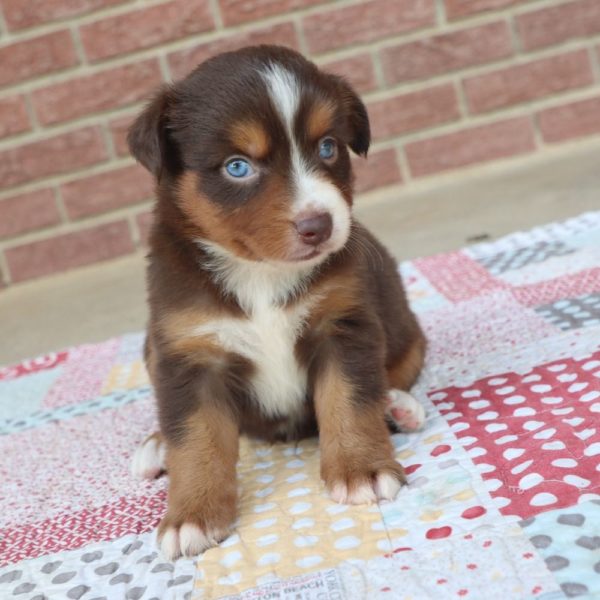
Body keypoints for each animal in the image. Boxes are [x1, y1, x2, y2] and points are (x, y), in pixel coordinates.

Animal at [129, 44, 426, 560]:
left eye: (327, 147)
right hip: (151, 347)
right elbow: (196, 437)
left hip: (407, 334)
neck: (261, 274)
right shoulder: (188, 354)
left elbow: (349, 400)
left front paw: (361, 471)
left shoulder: (342, 324)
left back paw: (398, 406)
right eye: (237, 166)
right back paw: (155, 446)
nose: (319, 225)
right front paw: (192, 516)